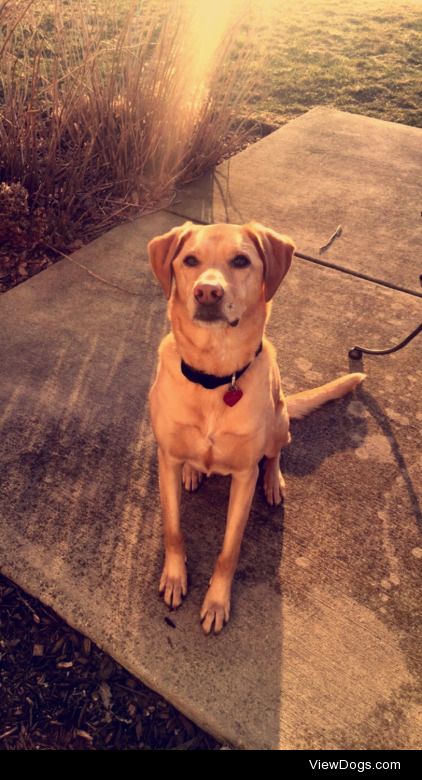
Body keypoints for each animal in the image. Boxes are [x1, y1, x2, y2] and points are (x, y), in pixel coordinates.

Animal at [148, 221, 362, 632]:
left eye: (241, 261)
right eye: (190, 260)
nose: (207, 291)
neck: (215, 379)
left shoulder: (244, 475)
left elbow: (229, 550)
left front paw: (216, 602)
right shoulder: (166, 459)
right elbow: (173, 529)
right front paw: (175, 578)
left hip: (279, 421)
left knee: (276, 452)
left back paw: (273, 481)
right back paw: (193, 473)